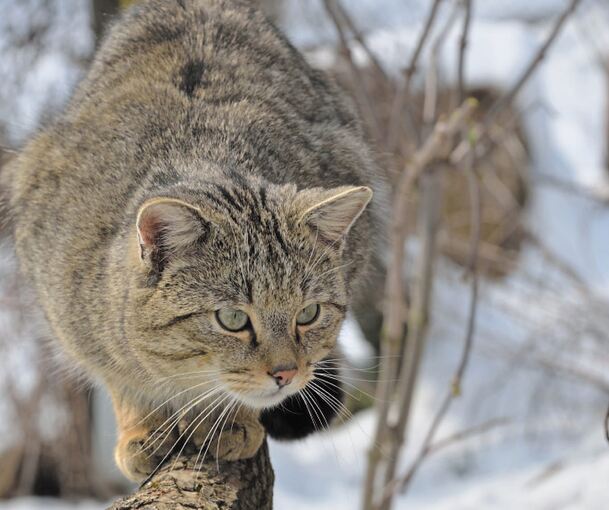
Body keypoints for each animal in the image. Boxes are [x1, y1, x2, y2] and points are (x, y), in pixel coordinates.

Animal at [2, 0, 388, 480]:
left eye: (309, 314)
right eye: (233, 319)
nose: (285, 373)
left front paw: (227, 418)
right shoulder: (70, 320)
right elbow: (119, 375)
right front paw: (141, 428)